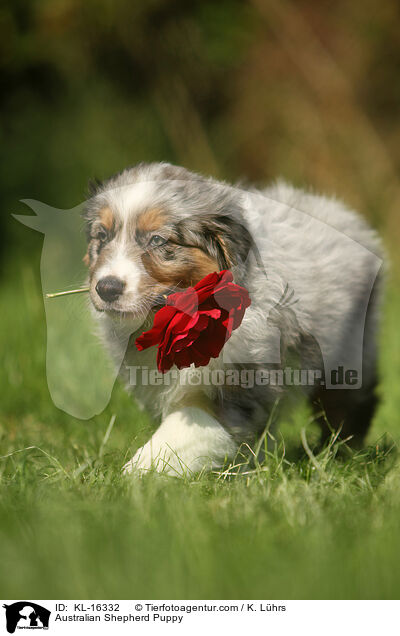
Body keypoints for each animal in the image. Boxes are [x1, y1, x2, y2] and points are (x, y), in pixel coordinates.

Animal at [84, 161, 384, 474]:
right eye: (102, 236)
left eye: (157, 240)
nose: (106, 288)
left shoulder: (236, 382)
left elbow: (183, 430)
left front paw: (137, 473)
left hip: (349, 348)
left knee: (349, 403)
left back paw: (340, 454)